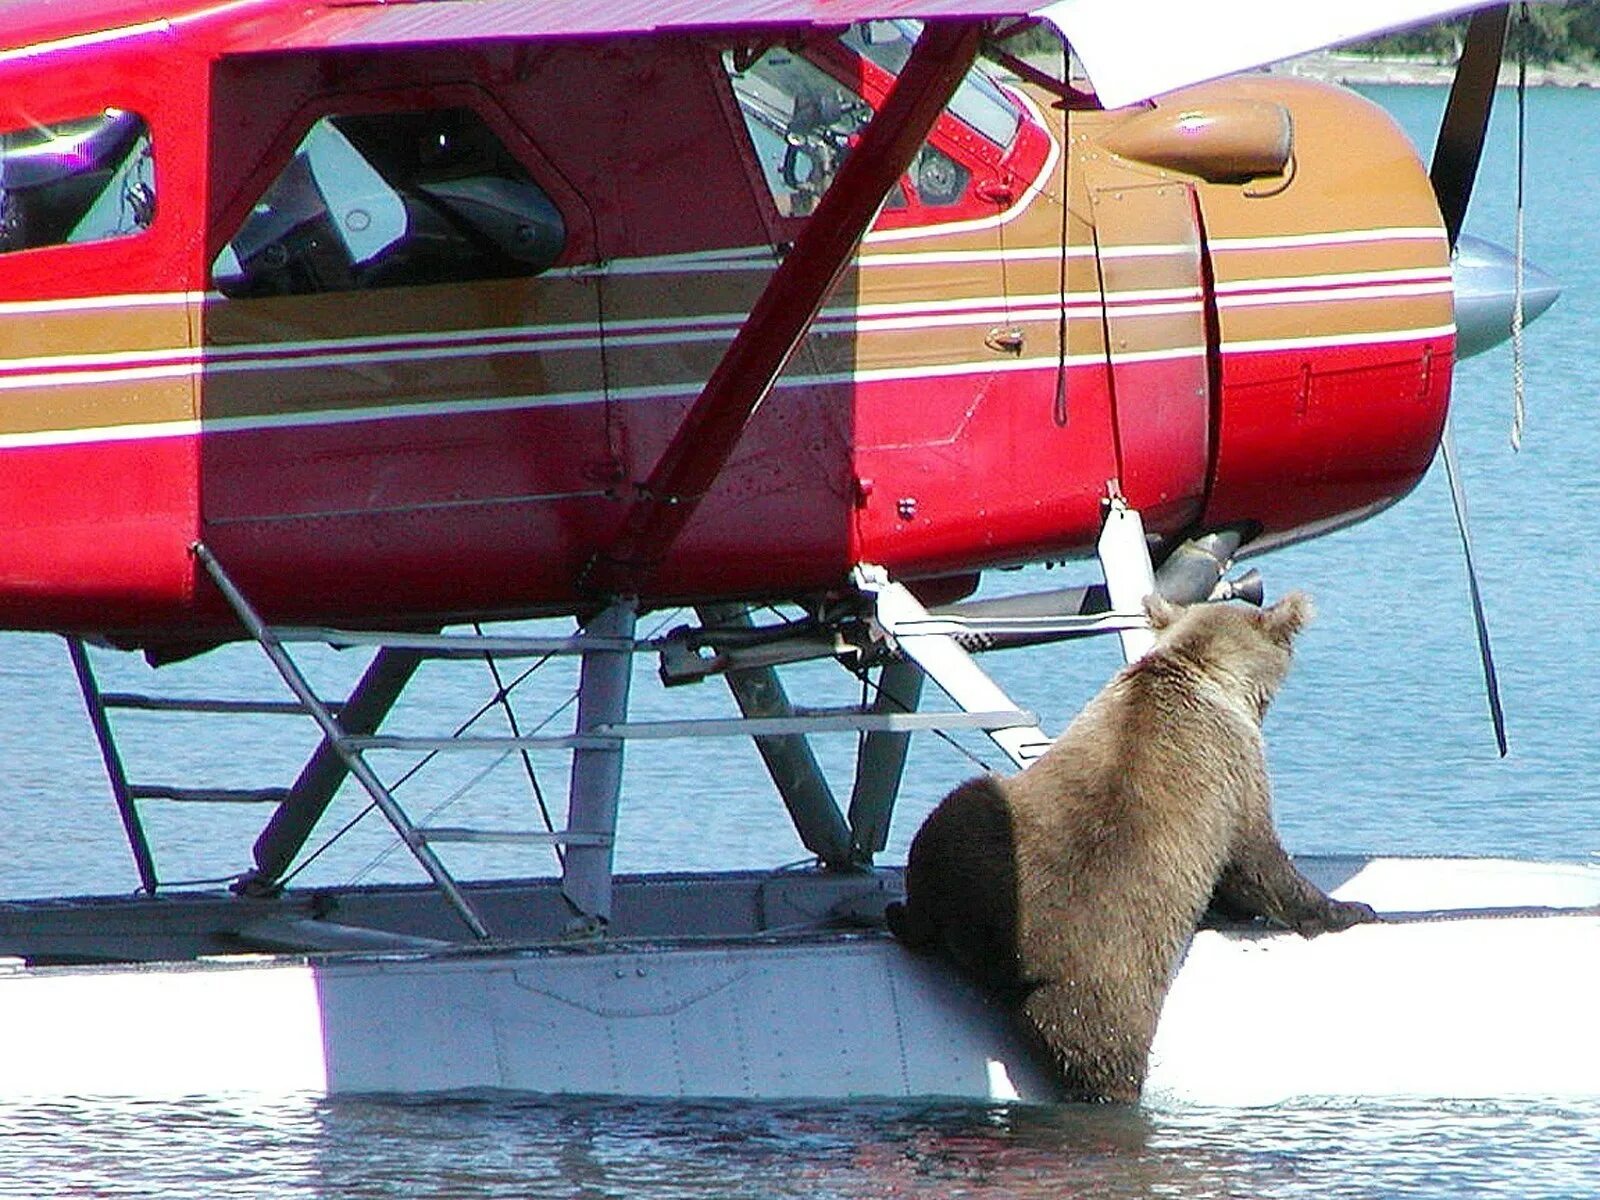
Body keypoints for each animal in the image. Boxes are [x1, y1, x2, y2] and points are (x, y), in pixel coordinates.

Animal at [889, 595, 1376, 1107]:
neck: (1202, 670)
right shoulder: (1235, 773)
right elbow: (1258, 860)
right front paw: (1347, 908)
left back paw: (902, 914)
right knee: (1104, 1049)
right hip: (1109, 976)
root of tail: (1001, 946)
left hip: (963, 833)